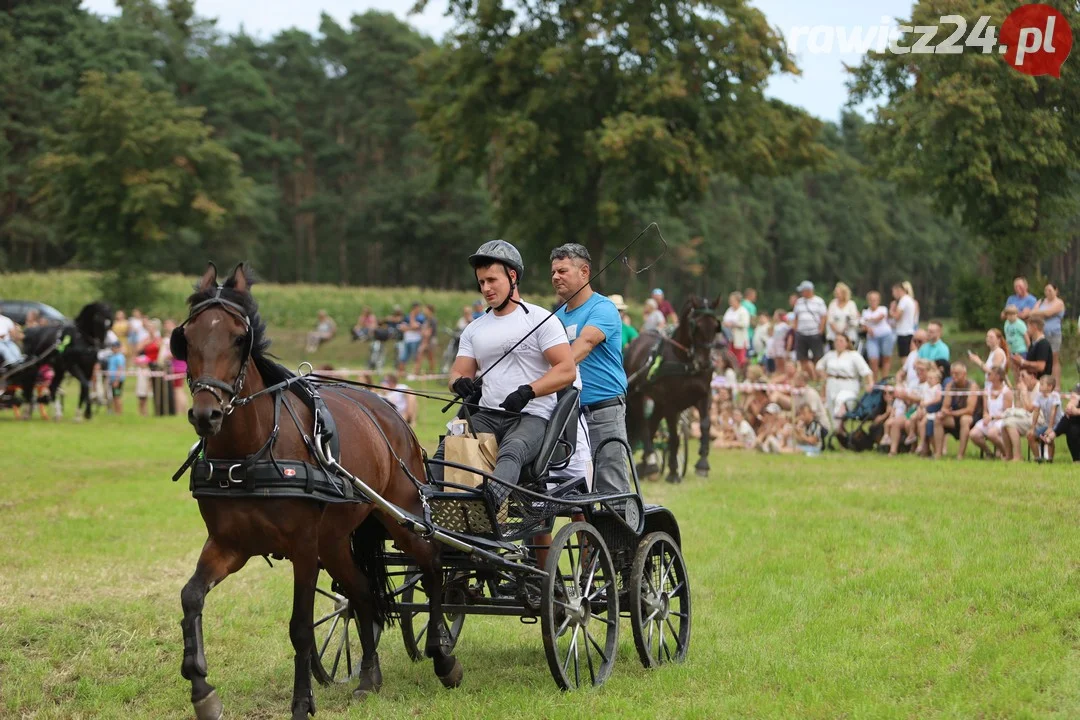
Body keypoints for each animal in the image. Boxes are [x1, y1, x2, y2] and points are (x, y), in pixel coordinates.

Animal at [622, 295, 721, 487]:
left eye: (715, 326)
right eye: (696, 326)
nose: (705, 363)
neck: (685, 361)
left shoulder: (704, 396)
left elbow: (705, 425)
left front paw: (702, 464)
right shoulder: (671, 404)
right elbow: (674, 437)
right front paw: (674, 472)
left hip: (658, 402)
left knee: (652, 425)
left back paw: (645, 466)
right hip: (638, 395)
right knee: (644, 426)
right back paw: (651, 462)